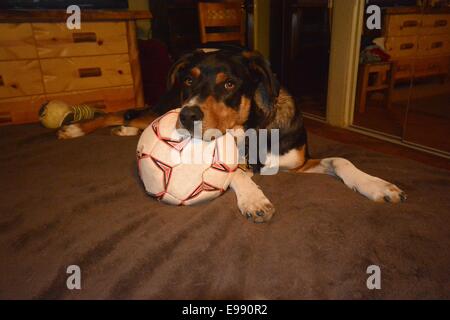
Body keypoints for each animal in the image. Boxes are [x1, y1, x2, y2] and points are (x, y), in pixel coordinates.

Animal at [58, 48, 406, 222]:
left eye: (228, 84)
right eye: (189, 80)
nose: (187, 115)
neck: (252, 128)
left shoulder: (298, 163)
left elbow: (341, 160)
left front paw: (377, 185)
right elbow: (235, 173)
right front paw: (254, 199)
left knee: (132, 118)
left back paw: (125, 130)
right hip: (164, 105)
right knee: (124, 112)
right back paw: (75, 128)